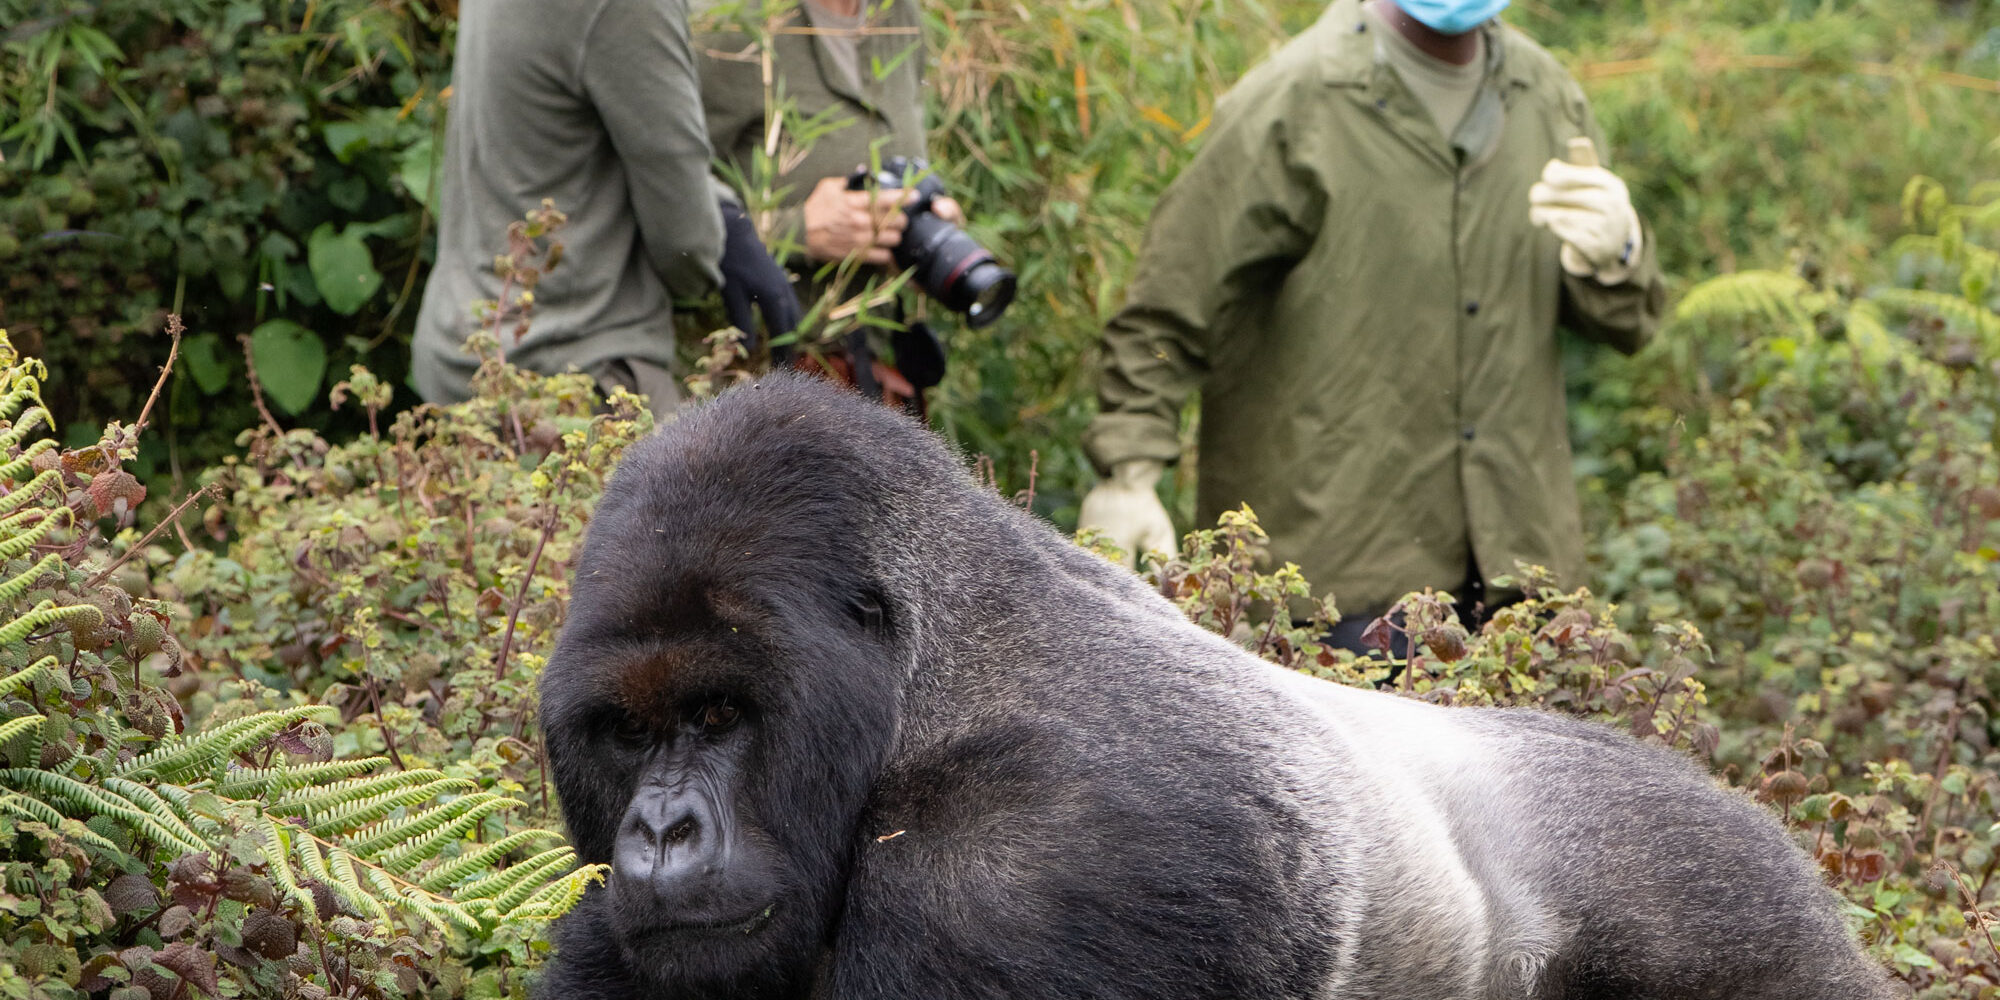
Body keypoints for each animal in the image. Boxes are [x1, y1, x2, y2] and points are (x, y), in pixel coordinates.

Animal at [534, 372, 1900, 1000]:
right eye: (628, 731)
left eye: (720, 714)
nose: (660, 830)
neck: (926, 692)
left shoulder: (1031, 868)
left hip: (1734, 906)